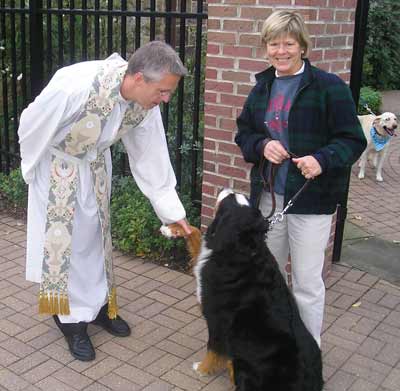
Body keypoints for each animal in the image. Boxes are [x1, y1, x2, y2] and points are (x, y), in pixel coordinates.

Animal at [161, 188, 324, 390]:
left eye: (229, 200)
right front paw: (173, 228)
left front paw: (202, 368)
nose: (230, 189)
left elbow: (213, 348)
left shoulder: (217, 319)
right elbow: (195, 232)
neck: (240, 251)